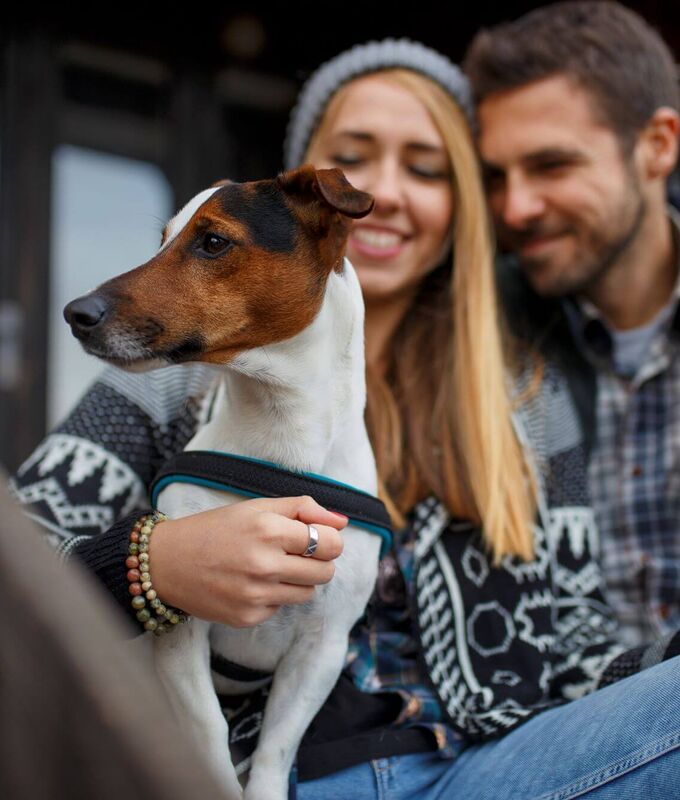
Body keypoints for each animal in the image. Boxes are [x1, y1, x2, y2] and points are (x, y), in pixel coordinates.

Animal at [63, 166, 382, 796]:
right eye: (162, 239)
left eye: (213, 241)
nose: (74, 312)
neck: (281, 444)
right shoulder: (180, 633)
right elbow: (208, 732)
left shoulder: (323, 647)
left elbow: (274, 749)